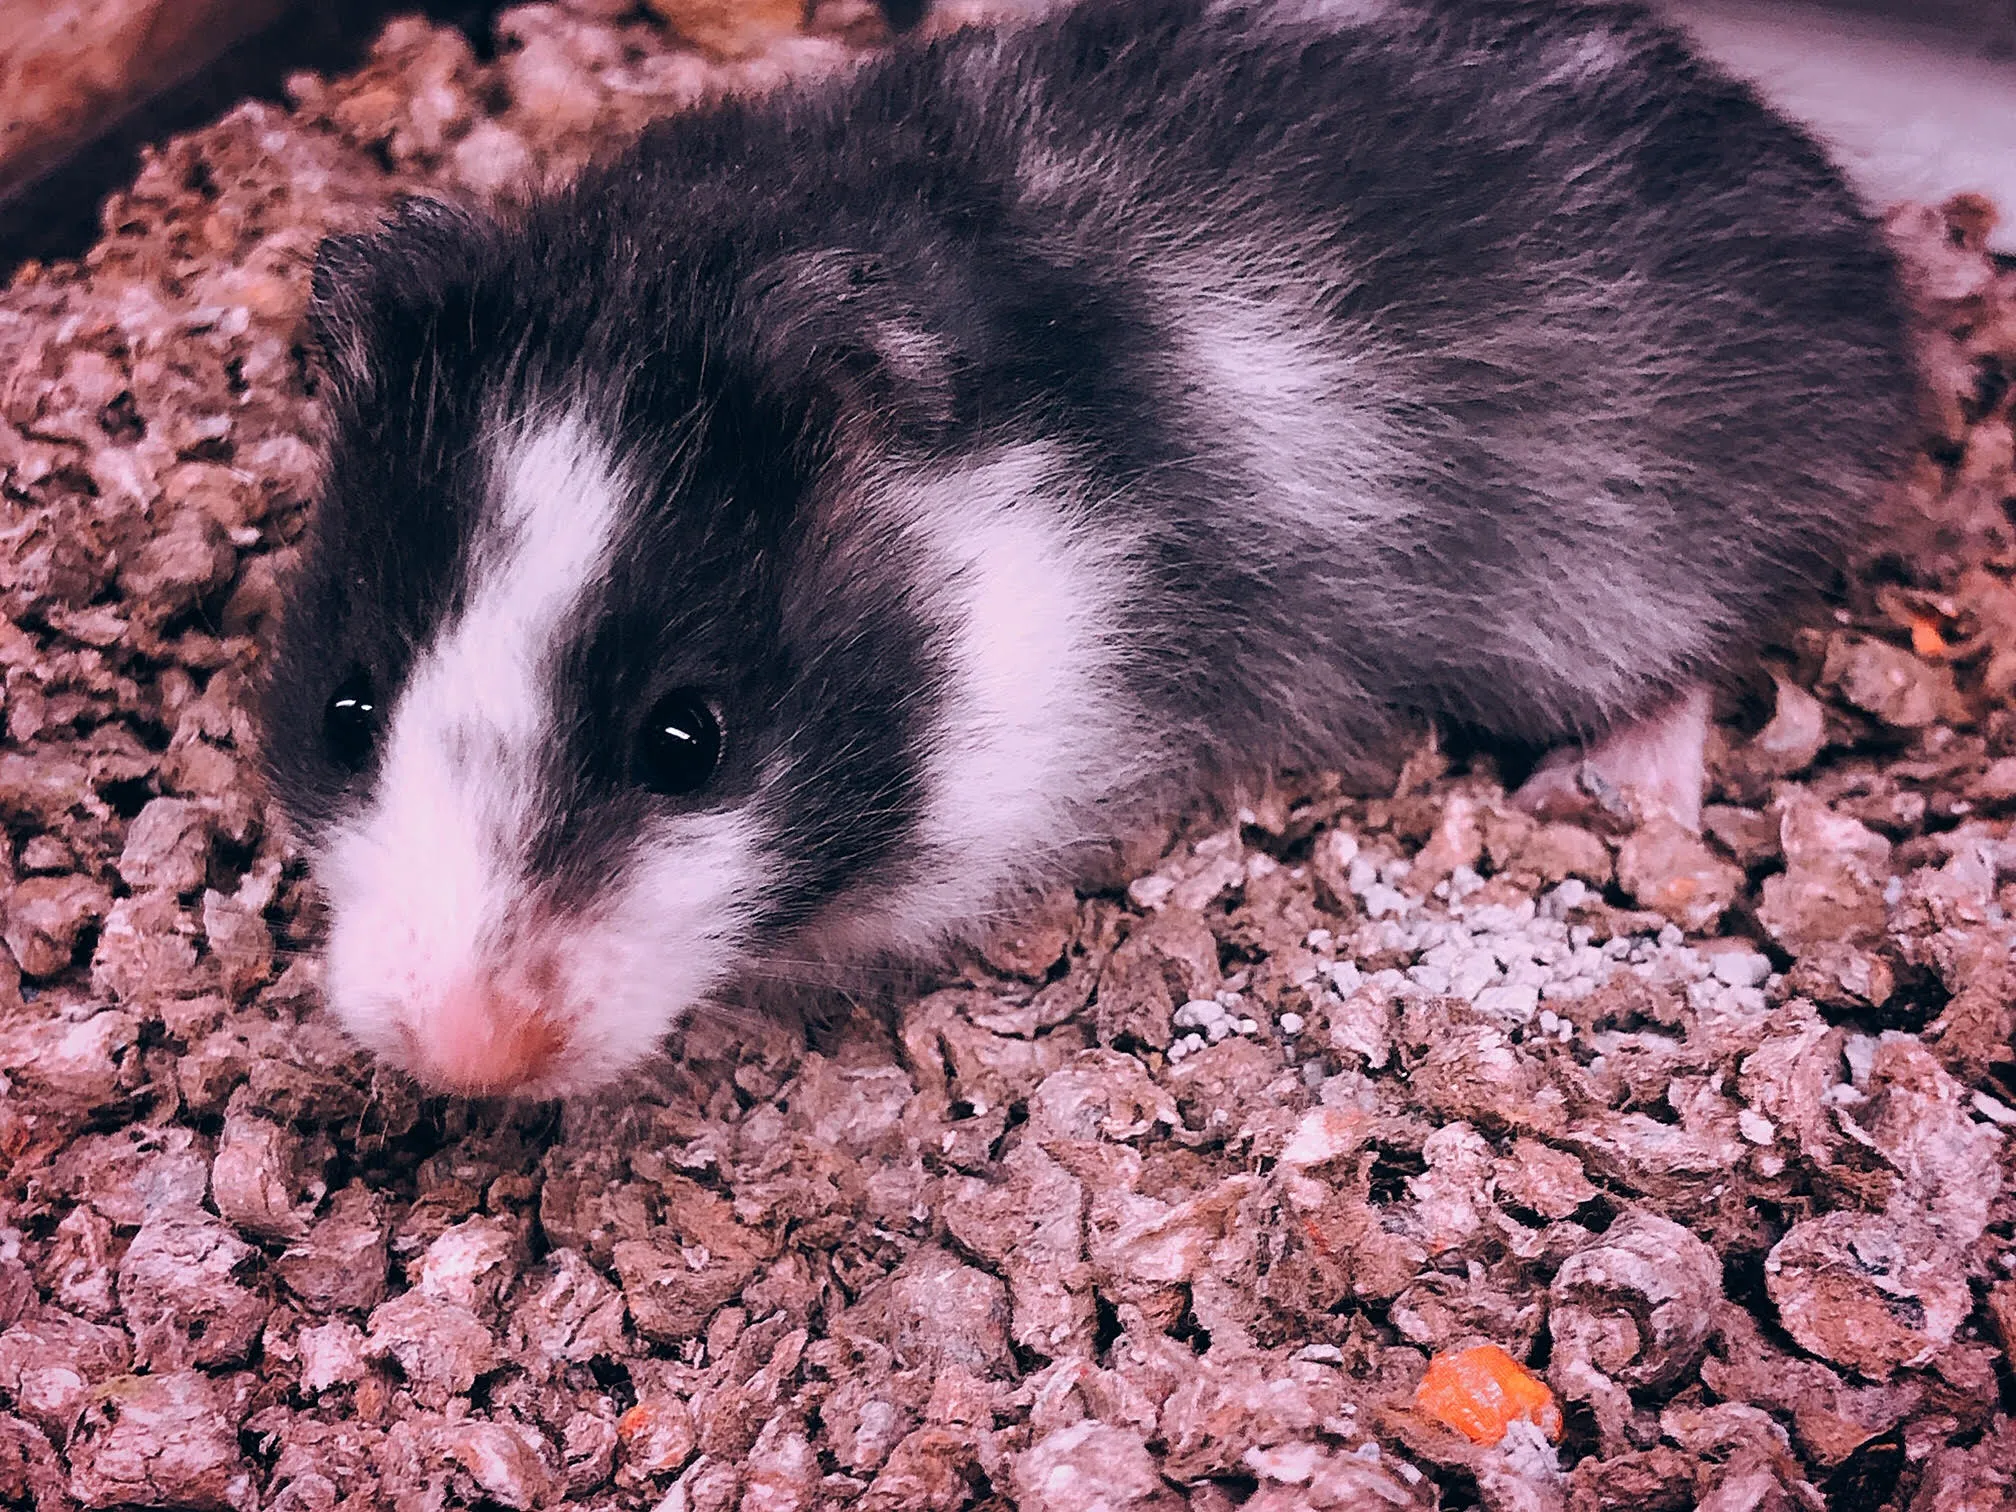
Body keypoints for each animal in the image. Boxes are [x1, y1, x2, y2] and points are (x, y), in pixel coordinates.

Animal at [260, 0, 1911, 1096]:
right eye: (343, 712)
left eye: (689, 740)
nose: (462, 1060)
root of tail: (1871, 257)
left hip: (1627, 568)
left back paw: (1609, 795)